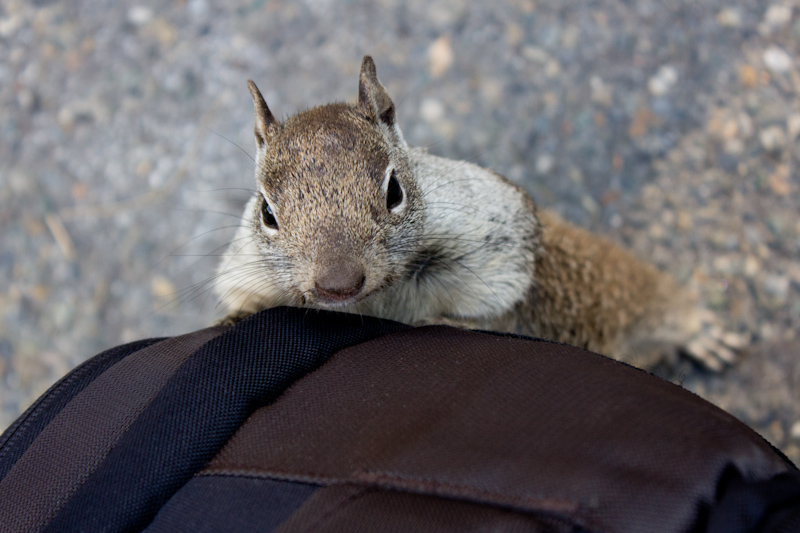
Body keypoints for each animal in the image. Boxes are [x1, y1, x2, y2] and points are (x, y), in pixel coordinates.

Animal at [213, 55, 744, 371]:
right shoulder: (246, 265)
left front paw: (450, 324)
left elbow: (498, 299)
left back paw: (701, 330)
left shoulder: (496, 232)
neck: (376, 299)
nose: (338, 283)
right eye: (267, 212)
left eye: (394, 191)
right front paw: (237, 318)